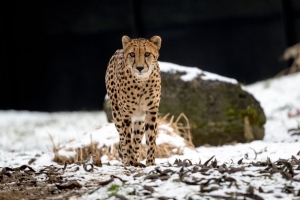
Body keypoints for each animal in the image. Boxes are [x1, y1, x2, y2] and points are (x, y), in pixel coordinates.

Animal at [105, 35, 162, 166]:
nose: (139, 68)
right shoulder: (125, 114)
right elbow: (126, 138)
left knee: (136, 139)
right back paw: (128, 160)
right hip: (117, 114)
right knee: (122, 137)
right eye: (132, 54)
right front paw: (130, 161)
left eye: (147, 54)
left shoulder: (151, 111)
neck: (141, 82)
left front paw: (150, 163)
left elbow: (151, 138)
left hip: (139, 120)